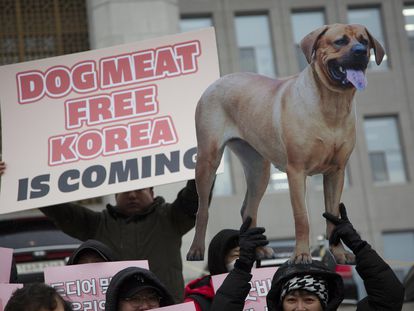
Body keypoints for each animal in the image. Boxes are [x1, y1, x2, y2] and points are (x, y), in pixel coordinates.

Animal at [188, 23, 384, 264]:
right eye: (340, 41)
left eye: (364, 41)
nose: (360, 51)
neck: (332, 104)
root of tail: (216, 81)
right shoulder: (296, 171)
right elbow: (302, 218)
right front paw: (301, 254)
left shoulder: (336, 172)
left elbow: (333, 216)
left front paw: (339, 253)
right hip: (208, 159)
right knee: (202, 209)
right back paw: (196, 250)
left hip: (258, 168)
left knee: (247, 209)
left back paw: (259, 250)